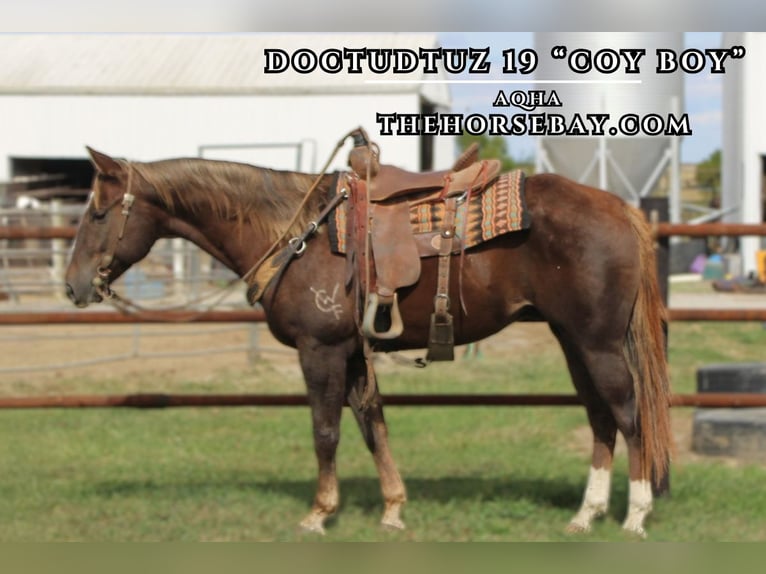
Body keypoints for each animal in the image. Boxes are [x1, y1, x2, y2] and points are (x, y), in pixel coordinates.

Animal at [69, 148, 676, 540]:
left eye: (98, 212)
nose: (74, 286)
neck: (295, 233)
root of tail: (622, 208)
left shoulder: (319, 349)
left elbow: (327, 431)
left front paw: (319, 514)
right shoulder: (354, 352)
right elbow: (372, 424)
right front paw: (393, 508)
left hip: (597, 342)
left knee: (628, 415)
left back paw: (635, 516)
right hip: (573, 339)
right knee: (600, 417)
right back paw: (586, 515)